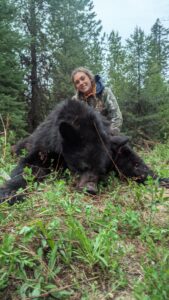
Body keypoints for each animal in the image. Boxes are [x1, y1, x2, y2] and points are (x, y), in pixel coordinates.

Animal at [0, 99, 169, 205]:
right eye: (82, 166)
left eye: (101, 170)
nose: (90, 190)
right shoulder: (46, 146)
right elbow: (30, 167)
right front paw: (9, 193)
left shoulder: (113, 146)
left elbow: (133, 163)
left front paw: (161, 180)